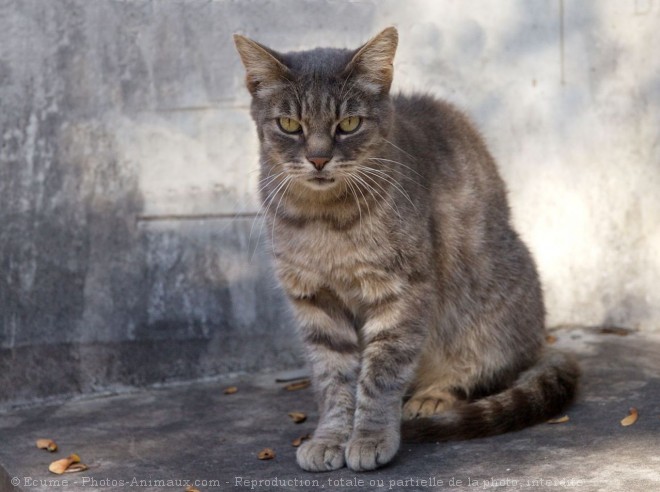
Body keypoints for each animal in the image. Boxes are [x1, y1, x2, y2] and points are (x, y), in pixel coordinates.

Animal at [233, 27, 576, 472]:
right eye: (290, 124)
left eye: (349, 123)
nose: (319, 159)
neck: (325, 222)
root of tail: (540, 345)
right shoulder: (316, 300)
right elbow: (333, 379)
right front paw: (330, 437)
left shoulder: (401, 291)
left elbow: (381, 374)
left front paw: (370, 436)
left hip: (491, 310)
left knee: (485, 372)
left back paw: (432, 397)